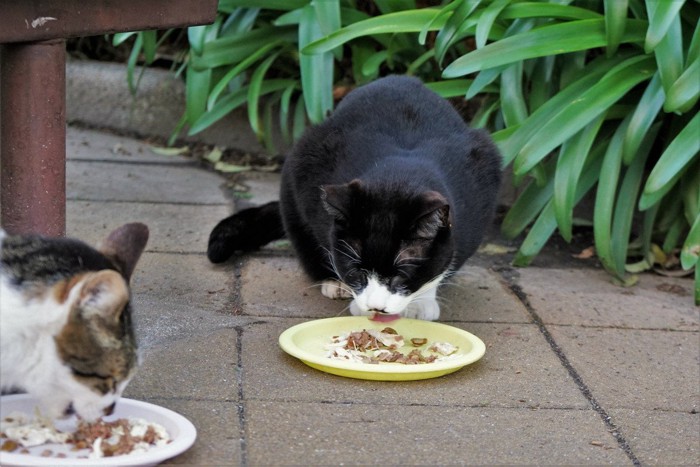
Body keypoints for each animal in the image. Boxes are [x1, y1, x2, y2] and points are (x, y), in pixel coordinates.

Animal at [208, 77, 504, 324]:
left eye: (400, 277)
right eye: (358, 273)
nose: (376, 307)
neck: (399, 174)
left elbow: (442, 264)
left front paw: (421, 303)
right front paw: (352, 294)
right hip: (300, 162)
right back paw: (331, 281)